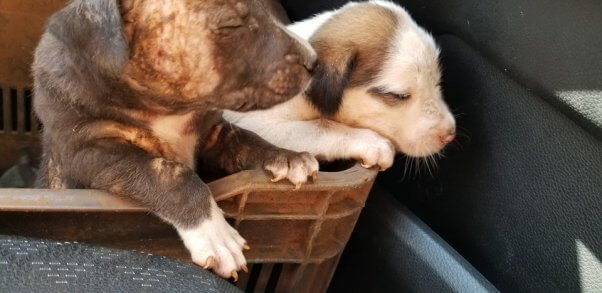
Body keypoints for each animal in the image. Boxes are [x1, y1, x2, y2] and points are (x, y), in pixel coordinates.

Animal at [223, 0, 452, 176]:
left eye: (437, 83)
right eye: (399, 95)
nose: (451, 134)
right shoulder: (253, 122)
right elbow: (321, 126)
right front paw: (372, 143)